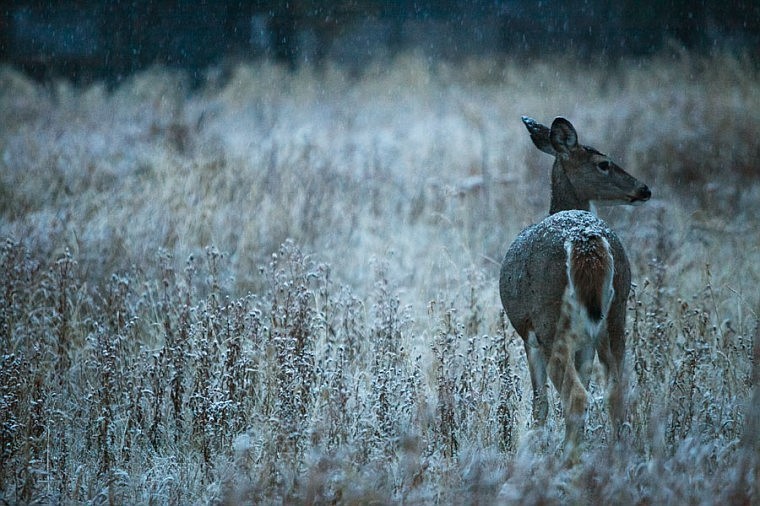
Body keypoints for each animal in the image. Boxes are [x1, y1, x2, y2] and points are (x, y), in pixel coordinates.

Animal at [502, 115, 652, 454]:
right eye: (604, 164)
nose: (644, 189)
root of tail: (586, 240)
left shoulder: (529, 334)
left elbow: (539, 403)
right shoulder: (585, 343)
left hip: (550, 320)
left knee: (575, 396)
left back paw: (568, 457)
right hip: (616, 314)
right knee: (616, 390)